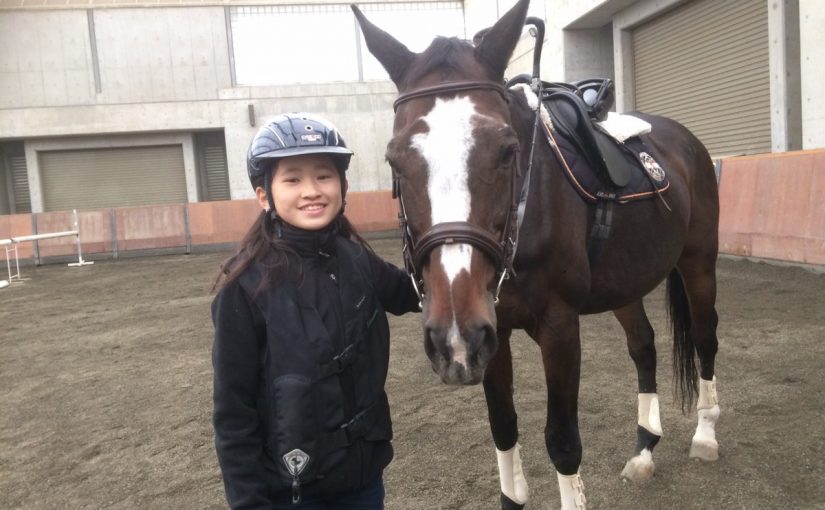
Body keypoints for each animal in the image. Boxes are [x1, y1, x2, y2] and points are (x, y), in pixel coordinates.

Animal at [352, 1, 721, 508]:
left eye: (508, 151)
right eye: (394, 160)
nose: (451, 338)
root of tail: (686, 139)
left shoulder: (559, 327)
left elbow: (562, 441)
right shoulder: (492, 334)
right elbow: (504, 428)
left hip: (698, 262)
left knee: (705, 338)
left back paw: (705, 436)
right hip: (624, 282)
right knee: (643, 347)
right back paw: (644, 449)